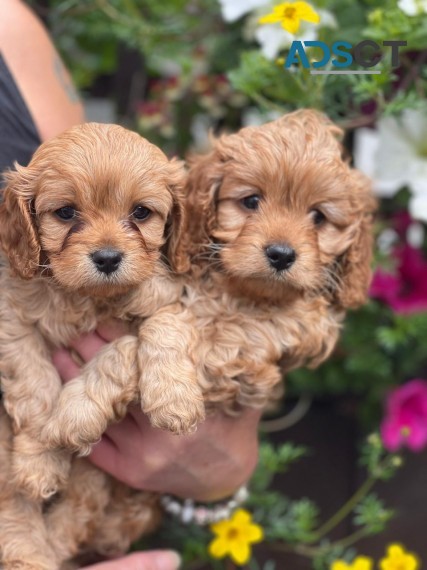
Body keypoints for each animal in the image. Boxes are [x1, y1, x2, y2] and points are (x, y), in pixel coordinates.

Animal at [0, 120, 205, 502]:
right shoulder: (13, 323)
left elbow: (146, 338)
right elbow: (36, 387)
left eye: (141, 212)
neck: (89, 298)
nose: (108, 258)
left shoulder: (171, 300)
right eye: (66, 213)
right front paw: (39, 460)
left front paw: (174, 399)